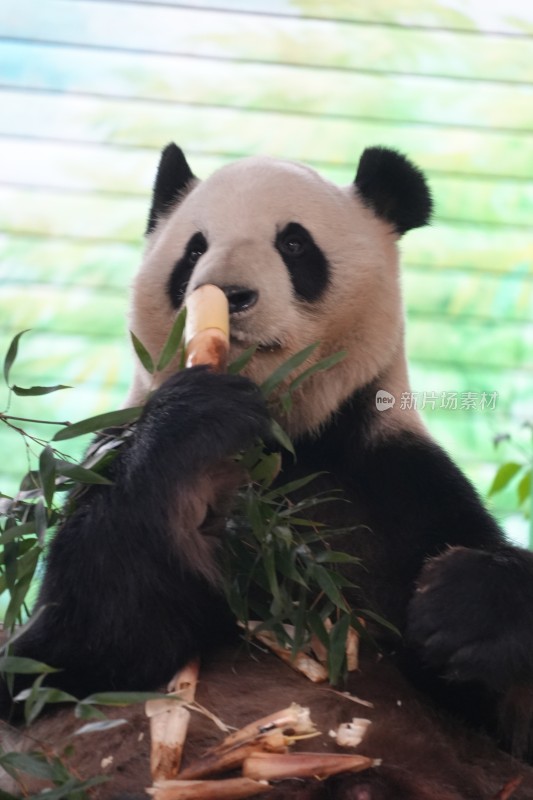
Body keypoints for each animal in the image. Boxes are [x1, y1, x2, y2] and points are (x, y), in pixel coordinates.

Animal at [3, 145, 532, 800]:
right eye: (195, 249)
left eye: (295, 244)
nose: (226, 293)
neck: (280, 445)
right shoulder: (104, 460)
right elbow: (75, 652)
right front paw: (194, 418)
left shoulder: (395, 483)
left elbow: (498, 702)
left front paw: (461, 607)